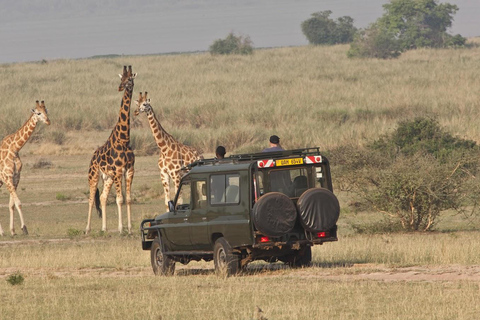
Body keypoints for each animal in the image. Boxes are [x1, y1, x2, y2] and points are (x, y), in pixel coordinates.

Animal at [0, 101, 50, 236]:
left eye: (46, 111)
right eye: (38, 113)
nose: (48, 121)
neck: (15, 149)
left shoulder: (16, 177)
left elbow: (11, 204)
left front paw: (13, 231)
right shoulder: (7, 177)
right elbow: (18, 203)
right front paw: (24, 228)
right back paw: (1, 232)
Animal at [85, 65, 135, 235]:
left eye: (130, 79)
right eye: (121, 79)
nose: (120, 87)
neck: (124, 139)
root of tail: (92, 157)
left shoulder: (129, 170)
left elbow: (128, 199)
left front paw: (129, 228)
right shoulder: (119, 170)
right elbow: (120, 199)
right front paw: (121, 228)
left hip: (108, 177)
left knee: (103, 197)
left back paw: (104, 228)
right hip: (93, 176)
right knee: (91, 199)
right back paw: (87, 229)